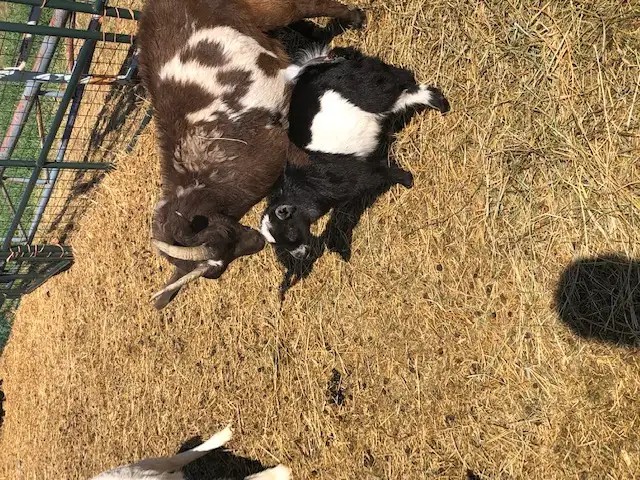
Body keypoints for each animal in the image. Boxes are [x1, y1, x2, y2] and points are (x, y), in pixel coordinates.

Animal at [137, 0, 366, 309]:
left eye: (224, 235)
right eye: (221, 266)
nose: (257, 241)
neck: (204, 179)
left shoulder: (279, 142)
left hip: (269, 10)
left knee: (306, 6)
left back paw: (356, 18)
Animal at [261, 46, 449, 258]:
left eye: (289, 232)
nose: (301, 256)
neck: (307, 184)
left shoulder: (359, 173)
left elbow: (384, 173)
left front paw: (409, 182)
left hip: (376, 95)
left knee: (411, 89)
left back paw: (442, 106)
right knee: (409, 85)